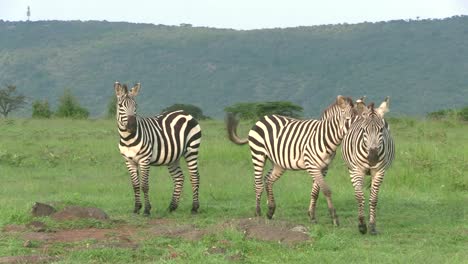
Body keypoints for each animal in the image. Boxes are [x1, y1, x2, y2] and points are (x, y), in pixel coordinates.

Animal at [114, 81, 202, 216]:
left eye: (136, 105)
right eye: (120, 106)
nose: (132, 126)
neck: (127, 138)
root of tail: (185, 113)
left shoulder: (144, 160)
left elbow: (144, 186)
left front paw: (146, 210)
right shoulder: (129, 161)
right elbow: (135, 185)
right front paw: (136, 208)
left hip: (192, 150)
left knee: (194, 177)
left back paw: (194, 208)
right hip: (173, 157)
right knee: (179, 178)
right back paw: (172, 207)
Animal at [227, 95, 358, 225]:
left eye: (360, 117)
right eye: (349, 119)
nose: (356, 131)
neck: (324, 137)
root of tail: (263, 118)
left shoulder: (324, 168)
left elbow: (315, 193)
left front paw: (312, 216)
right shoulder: (312, 165)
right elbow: (326, 190)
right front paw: (334, 218)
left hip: (279, 163)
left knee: (268, 180)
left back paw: (270, 210)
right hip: (258, 154)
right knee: (258, 184)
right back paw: (258, 212)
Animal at [340, 97, 394, 235]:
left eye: (381, 130)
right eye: (364, 130)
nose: (373, 158)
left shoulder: (379, 171)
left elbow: (373, 199)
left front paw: (372, 226)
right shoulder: (358, 170)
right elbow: (359, 197)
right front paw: (362, 225)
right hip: (352, 169)